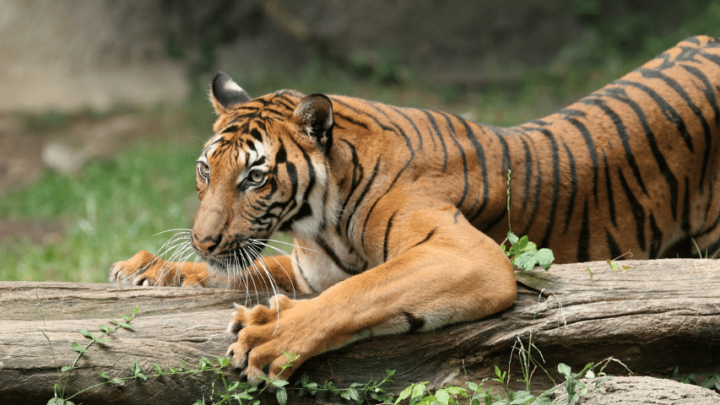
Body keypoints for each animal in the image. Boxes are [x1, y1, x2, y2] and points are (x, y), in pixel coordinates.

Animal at [111, 35, 720, 383]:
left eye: (254, 177)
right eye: (205, 170)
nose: (203, 240)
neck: (318, 219)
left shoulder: (464, 253)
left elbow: (359, 293)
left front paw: (268, 337)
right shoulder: (309, 268)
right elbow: (252, 271)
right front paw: (151, 269)